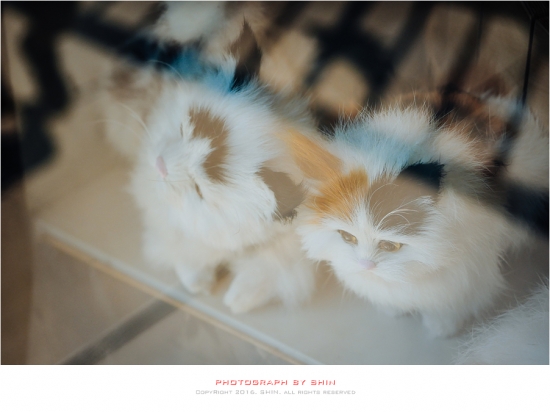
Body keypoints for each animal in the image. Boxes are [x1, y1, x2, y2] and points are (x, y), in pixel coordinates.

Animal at [283, 89, 549, 337]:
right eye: (347, 237)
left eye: (390, 246)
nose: (366, 265)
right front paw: (393, 310)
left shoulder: (468, 273)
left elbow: (449, 304)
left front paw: (441, 328)